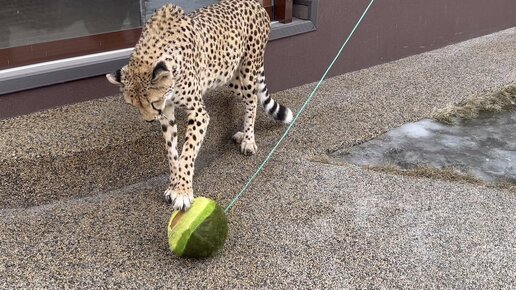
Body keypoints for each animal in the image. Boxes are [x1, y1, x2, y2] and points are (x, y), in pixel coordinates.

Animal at [107, 0, 292, 211]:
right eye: (133, 105)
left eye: (152, 102)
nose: (149, 120)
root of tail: (255, 3)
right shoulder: (167, 112)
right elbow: (172, 152)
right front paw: (174, 185)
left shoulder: (198, 113)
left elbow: (188, 151)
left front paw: (182, 192)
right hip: (229, 76)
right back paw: (242, 135)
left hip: (247, 70)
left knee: (252, 100)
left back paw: (248, 140)